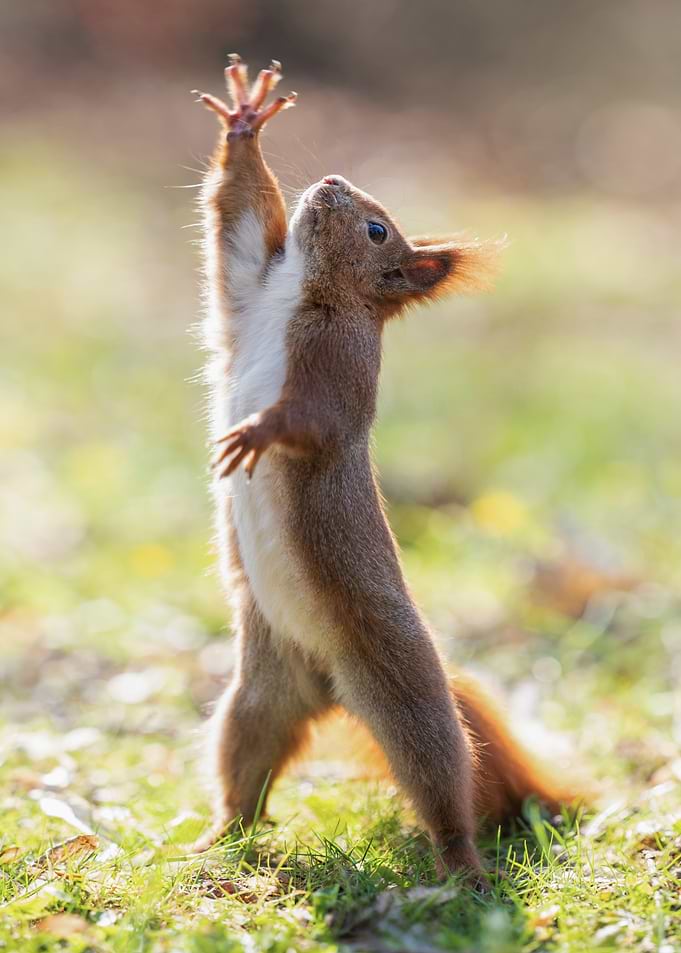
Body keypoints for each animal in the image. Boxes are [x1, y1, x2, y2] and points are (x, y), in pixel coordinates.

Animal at [192, 55, 572, 883]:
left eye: (375, 229)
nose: (333, 179)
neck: (300, 293)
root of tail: (333, 689)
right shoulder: (245, 286)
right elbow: (236, 219)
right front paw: (244, 122)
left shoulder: (339, 368)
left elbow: (314, 421)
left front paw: (256, 432)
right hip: (262, 688)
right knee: (247, 761)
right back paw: (216, 836)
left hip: (403, 688)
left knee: (440, 773)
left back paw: (462, 868)